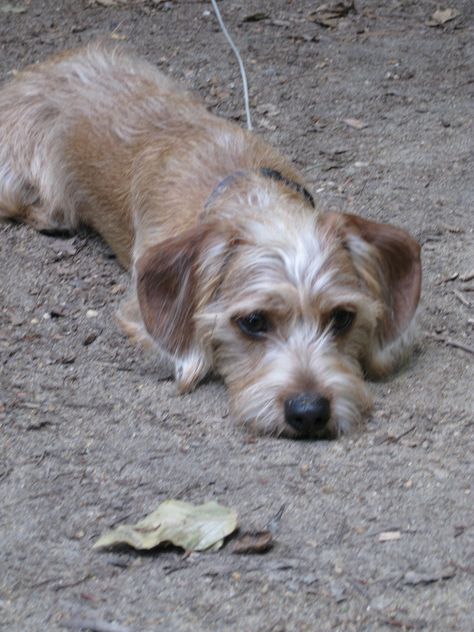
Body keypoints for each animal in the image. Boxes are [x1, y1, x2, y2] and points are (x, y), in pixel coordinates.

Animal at [0, 44, 422, 440]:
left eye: (342, 317)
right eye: (253, 322)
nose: (309, 411)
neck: (247, 192)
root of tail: (44, 66)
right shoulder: (140, 310)